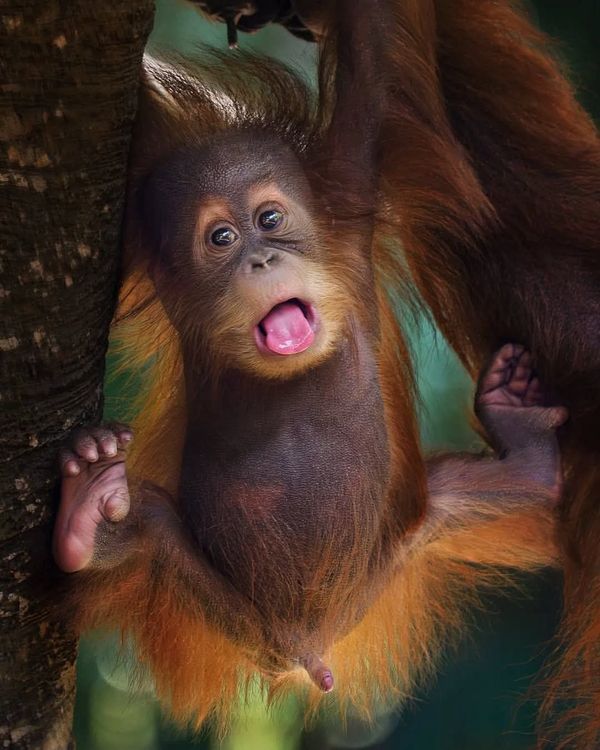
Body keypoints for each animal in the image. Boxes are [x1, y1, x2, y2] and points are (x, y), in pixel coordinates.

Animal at [53, 1, 569, 733]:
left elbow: (371, 65)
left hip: (397, 550)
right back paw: (88, 515)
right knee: (147, 528)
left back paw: (528, 454)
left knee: (463, 497)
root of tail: (304, 648)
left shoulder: (352, 182)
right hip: (219, 602)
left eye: (271, 218)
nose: (262, 259)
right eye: (222, 237)